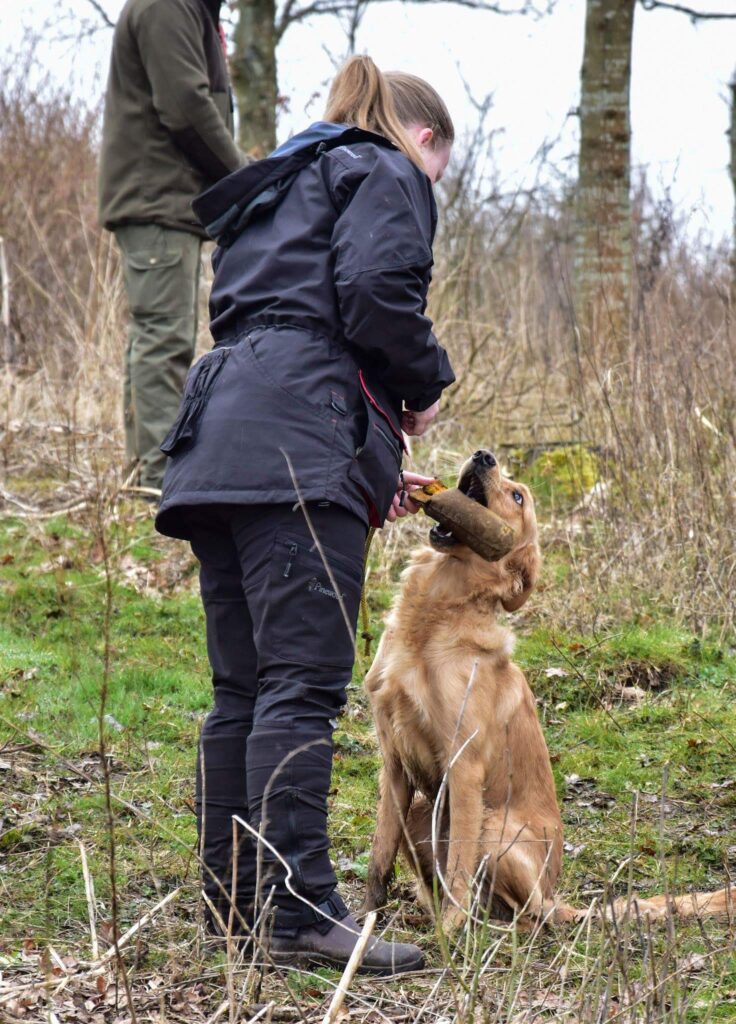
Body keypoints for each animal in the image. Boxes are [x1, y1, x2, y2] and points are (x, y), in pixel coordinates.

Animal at [360, 452, 732, 933]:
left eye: (518, 497)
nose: (484, 455)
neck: (432, 622)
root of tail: (557, 896)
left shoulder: (463, 766)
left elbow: (458, 865)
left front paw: (451, 930)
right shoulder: (394, 762)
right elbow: (379, 854)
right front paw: (364, 918)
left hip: (493, 827)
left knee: (526, 913)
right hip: (424, 810)